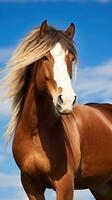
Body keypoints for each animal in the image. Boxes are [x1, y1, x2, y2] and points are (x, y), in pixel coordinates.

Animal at [3, 20, 112, 200]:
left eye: (71, 58)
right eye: (44, 57)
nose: (67, 101)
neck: (34, 133)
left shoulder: (65, 184)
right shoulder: (31, 186)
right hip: (102, 187)